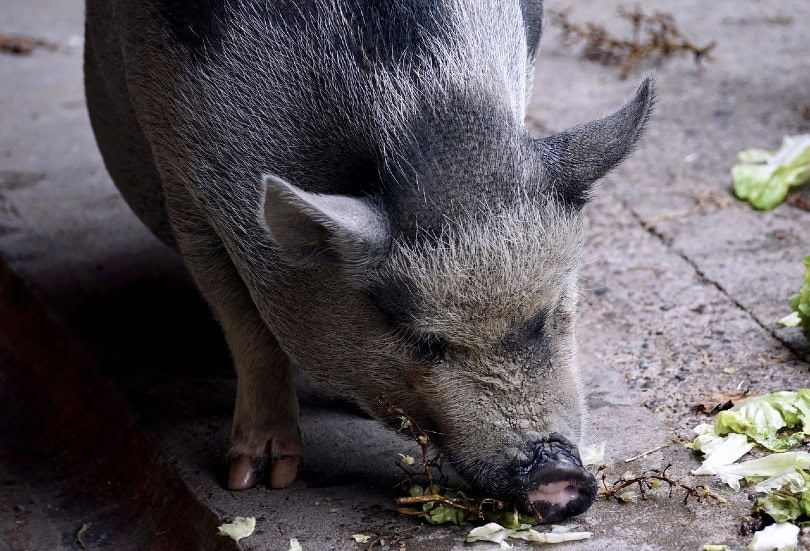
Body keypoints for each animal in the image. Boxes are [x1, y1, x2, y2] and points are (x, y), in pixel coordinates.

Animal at [84, 0, 653, 522]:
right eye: (421, 339)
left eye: (552, 311)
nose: (556, 476)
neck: (416, 103)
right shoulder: (186, 191)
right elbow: (248, 329)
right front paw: (256, 479)